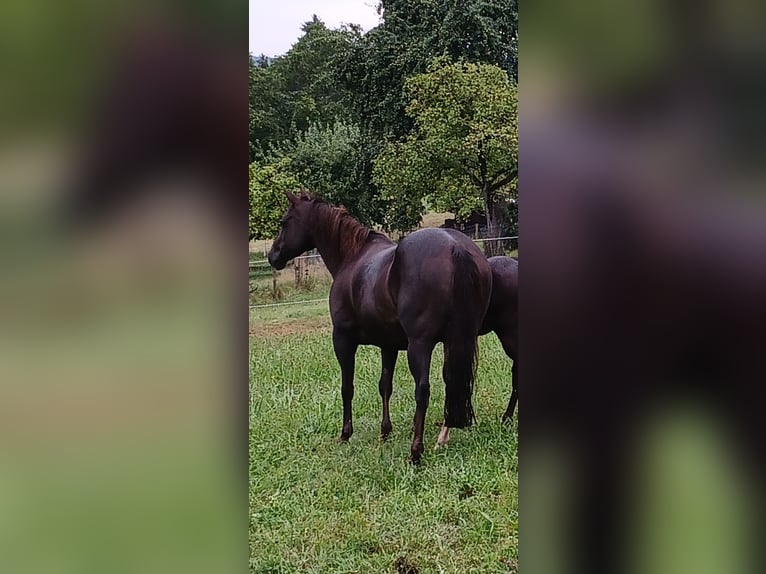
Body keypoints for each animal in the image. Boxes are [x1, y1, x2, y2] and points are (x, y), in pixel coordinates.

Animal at [268, 192, 496, 464]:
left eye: (284, 222)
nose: (273, 256)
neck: (352, 257)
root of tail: (455, 247)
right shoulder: (389, 345)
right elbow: (385, 385)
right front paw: (385, 431)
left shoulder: (343, 340)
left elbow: (347, 387)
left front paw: (345, 434)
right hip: (458, 340)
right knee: (453, 380)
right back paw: (443, 437)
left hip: (420, 346)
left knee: (423, 390)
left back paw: (415, 452)